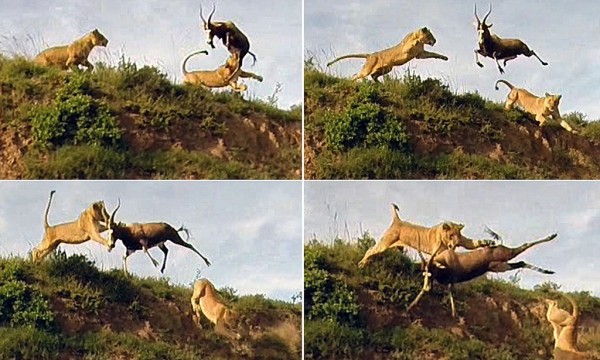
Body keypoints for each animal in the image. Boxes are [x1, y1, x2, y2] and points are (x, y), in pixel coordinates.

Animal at [358, 204, 494, 268]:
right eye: (451, 235)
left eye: (458, 236)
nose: (455, 245)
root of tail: (397, 220)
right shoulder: (437, 251)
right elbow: (438, 259)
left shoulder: (464, 242)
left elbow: (474, 243)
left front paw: (488, 242)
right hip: (385, 243)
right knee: (370, 250)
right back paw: (362, 263)